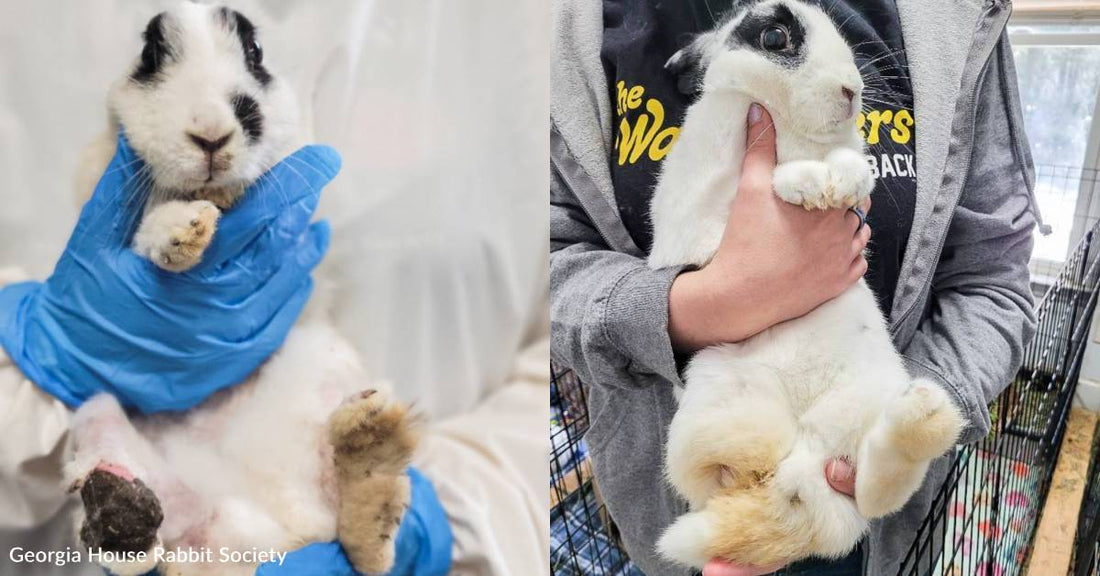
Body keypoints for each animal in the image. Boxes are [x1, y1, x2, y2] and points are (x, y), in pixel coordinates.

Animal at [59, 4, 419, 575]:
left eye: (255, 54)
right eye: (151, 54)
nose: (211, 134)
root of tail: (272, 538)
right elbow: (150, 234)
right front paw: (184, 232)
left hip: (323, 367)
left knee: (360, 544)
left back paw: (370, 452)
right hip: (101, 415)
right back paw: (121, 516)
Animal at [648, 0, 964, 569]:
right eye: (775, 37)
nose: (851, 90)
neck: (789, 125)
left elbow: (847, 160)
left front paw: (843, 182)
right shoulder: (698, 215)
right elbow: (748, 191)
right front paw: (809, 185)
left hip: (863, 403)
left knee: (874, 491)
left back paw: (921, 415)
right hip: (710, 405)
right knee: (735, 471)